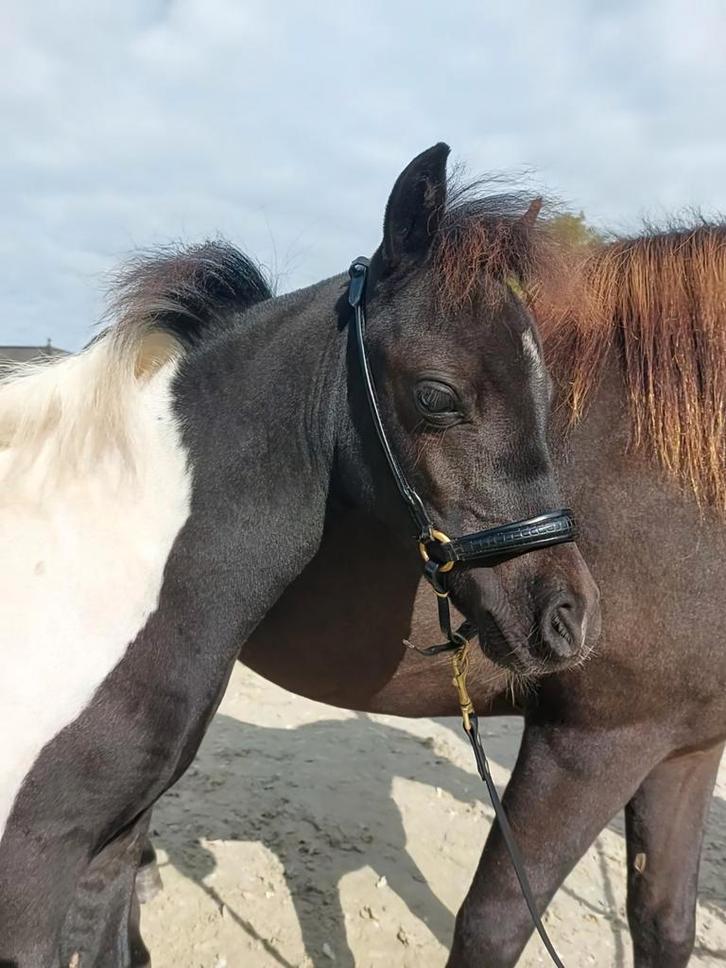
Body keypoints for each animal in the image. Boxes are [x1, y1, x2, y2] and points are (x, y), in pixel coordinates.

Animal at [131, 218, 725, 967]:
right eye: (437, 398)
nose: (571, 620)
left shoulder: (687, 748)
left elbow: (665, 921)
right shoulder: (593, 742)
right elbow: (492, 924)